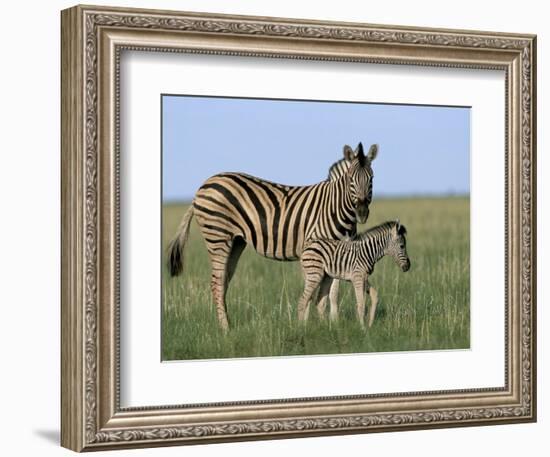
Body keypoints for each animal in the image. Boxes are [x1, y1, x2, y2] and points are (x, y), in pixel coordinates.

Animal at [168, 142, 380, 328]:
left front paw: (333, 324)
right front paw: (306, 325)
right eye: (351, 179)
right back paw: (225, 330)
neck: (334, 208)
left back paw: (228, 324)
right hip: (218, 235)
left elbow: (334, 292)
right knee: (217, 283)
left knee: (224, 281)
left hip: (235, 241)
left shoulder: (340, 251)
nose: (362, 213)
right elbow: (314, 291)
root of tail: (203, 185)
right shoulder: (315, 248)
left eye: (372, 179)